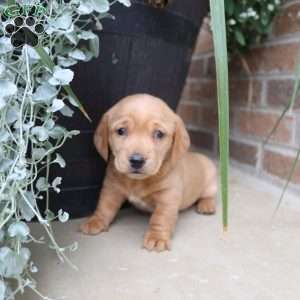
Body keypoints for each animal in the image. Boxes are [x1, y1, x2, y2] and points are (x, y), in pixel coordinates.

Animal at [79, 94, 216, 251]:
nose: (137, 160)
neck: (136, 181)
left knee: (209, 195)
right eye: (121, 131)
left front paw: (157, 237)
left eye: (159, 134)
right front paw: (96, 220)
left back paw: (207, 205)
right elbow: (104, 206)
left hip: (211, 181)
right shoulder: (111, 188)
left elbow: (161, 218)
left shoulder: (168, 196)